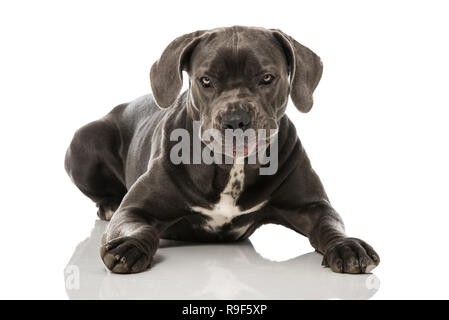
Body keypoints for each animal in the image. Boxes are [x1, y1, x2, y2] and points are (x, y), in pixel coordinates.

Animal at [64, 26, 378, 274]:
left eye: (267, 77)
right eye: (206, 80)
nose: (235, 118)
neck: (232, 168)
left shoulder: (312, 206)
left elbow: (330, 225)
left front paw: (347, 246)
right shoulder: (135, 208)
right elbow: (138, 226)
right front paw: (128, 246)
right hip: (84, 140)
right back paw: (108, 204)